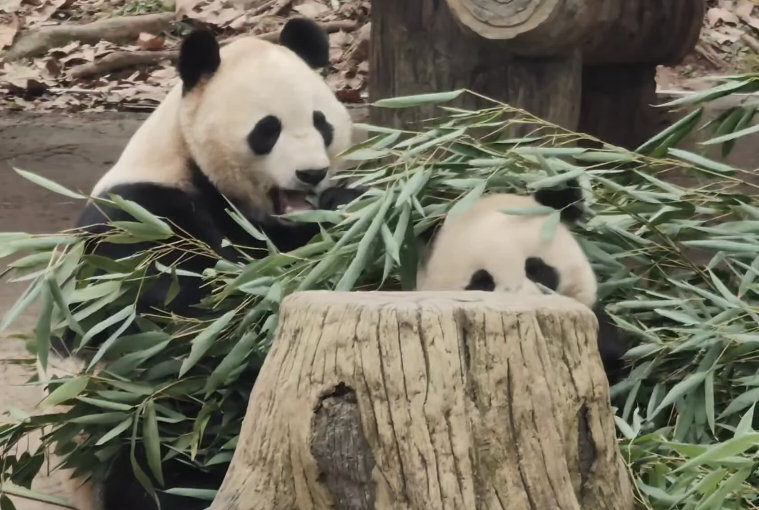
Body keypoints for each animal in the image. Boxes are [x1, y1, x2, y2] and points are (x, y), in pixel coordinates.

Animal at [41, 17, 368, 510]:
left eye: (321, 122)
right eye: (267, 130)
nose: (311, 173)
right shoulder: (139, 219)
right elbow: (179, 314)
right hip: (115, 421)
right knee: (164, 453)